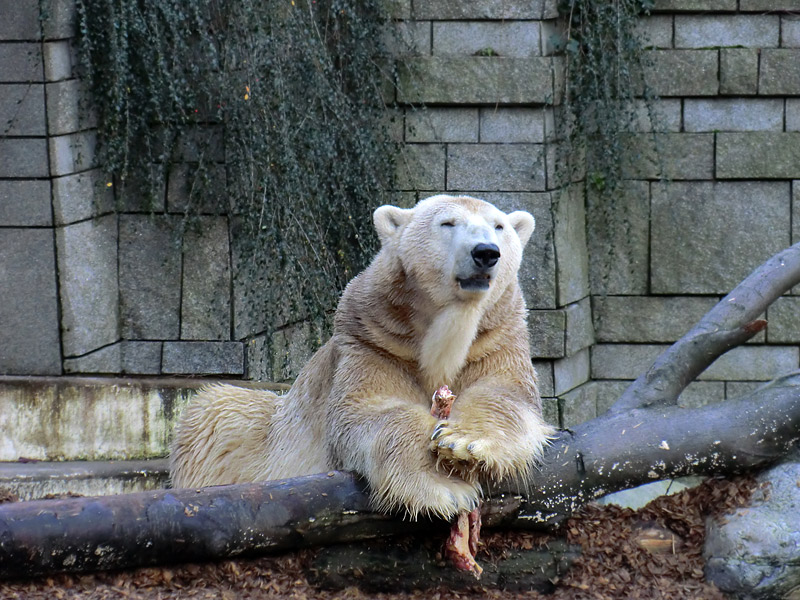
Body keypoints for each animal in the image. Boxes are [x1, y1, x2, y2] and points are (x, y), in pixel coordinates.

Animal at [170, 195, 552, 516]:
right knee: (216, 411)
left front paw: (464, 441)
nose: (486, 252)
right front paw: (443, 487)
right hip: (247, 433)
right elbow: (371, 410)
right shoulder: (373, 342)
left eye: (498, 226)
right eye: (447, 223)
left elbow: (504, 395)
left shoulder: (496, 338)